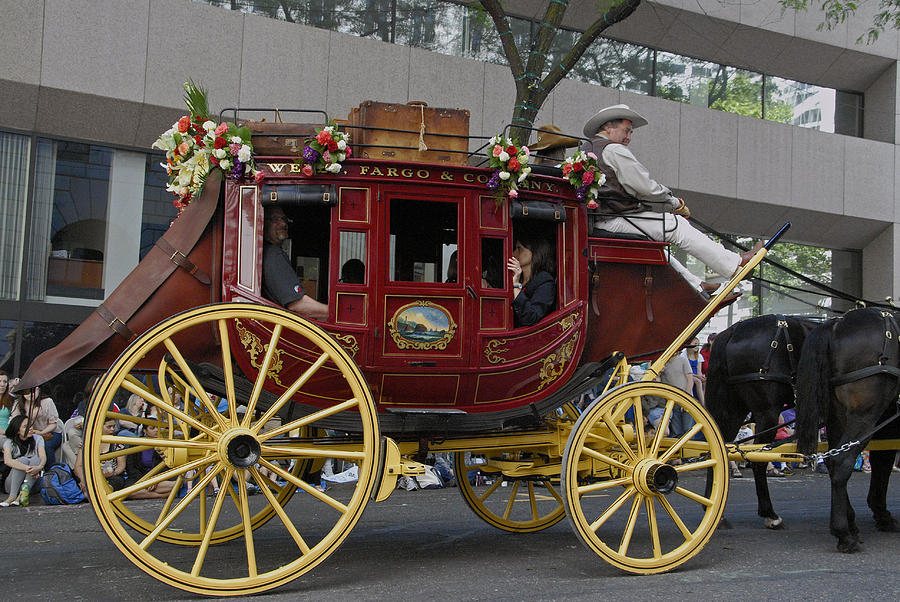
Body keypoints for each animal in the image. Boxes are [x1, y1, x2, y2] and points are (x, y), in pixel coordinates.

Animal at [708, 312, 820, 528]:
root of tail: (734, 330)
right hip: (766, 412)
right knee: (757, 459)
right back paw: (770, 514)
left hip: (732, 409)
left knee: (718, 450)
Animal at [800, 308, 900, 552]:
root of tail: (836, 324)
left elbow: (883, 462)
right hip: (865, 414)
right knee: (842, 460)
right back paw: (844, 533)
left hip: (839, 415)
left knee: (833, 459)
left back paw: (850, 524)